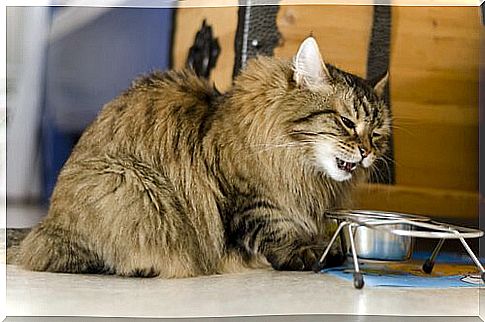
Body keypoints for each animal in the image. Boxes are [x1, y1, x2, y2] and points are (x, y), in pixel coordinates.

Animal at [12, 37, 390, 278]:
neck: (300, 168)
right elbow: (277, 233)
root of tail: (44, 226)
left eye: (377, 134)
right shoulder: (248, 200)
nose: (366, 152)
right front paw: (311, 253)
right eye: (346, 122)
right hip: (130, 185)